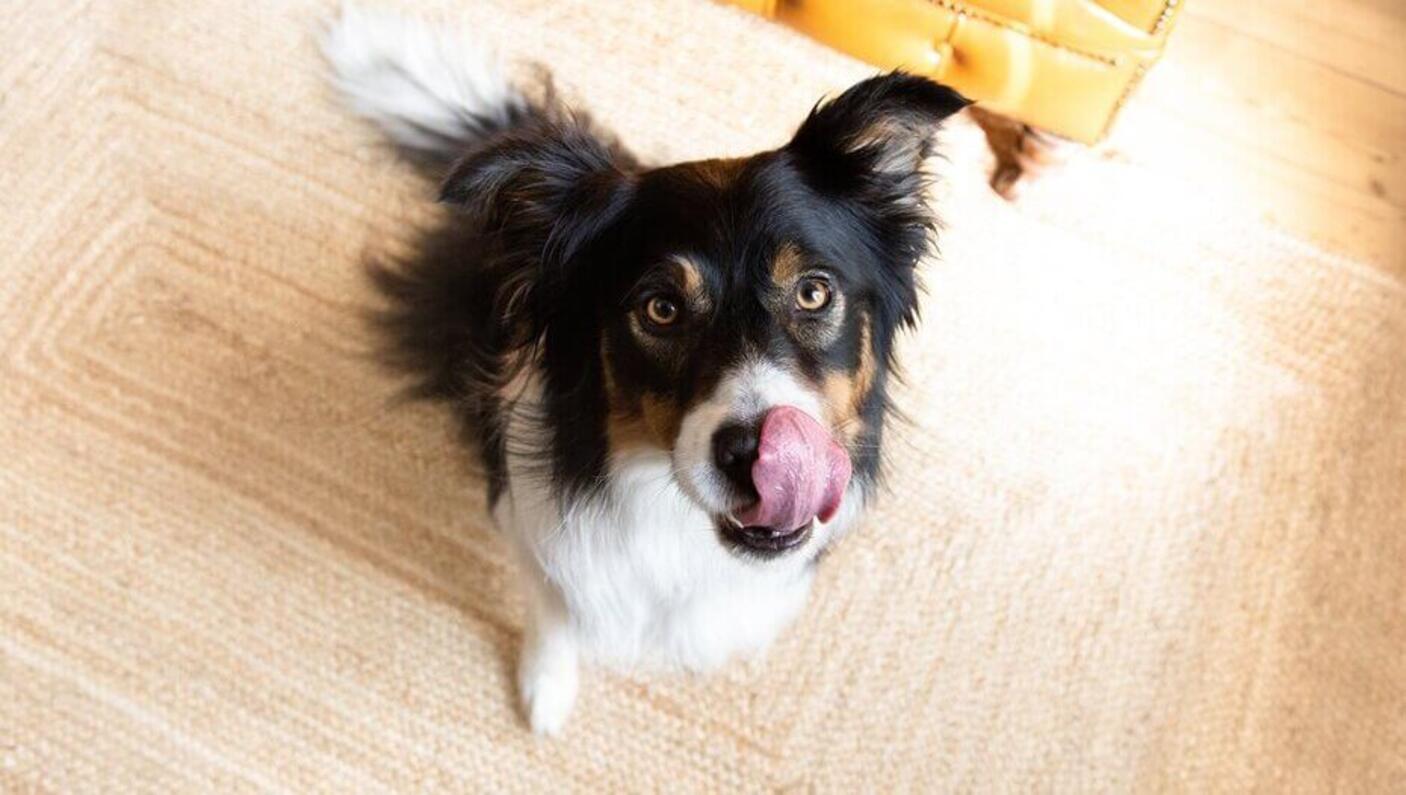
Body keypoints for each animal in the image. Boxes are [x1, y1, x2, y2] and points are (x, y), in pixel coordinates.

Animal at [324, 4, 972, 731]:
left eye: (812, 292)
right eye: (660, 309)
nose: (757, 455)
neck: (677, 516)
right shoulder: (533, 518)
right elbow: (552, 605)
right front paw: (545, 691)